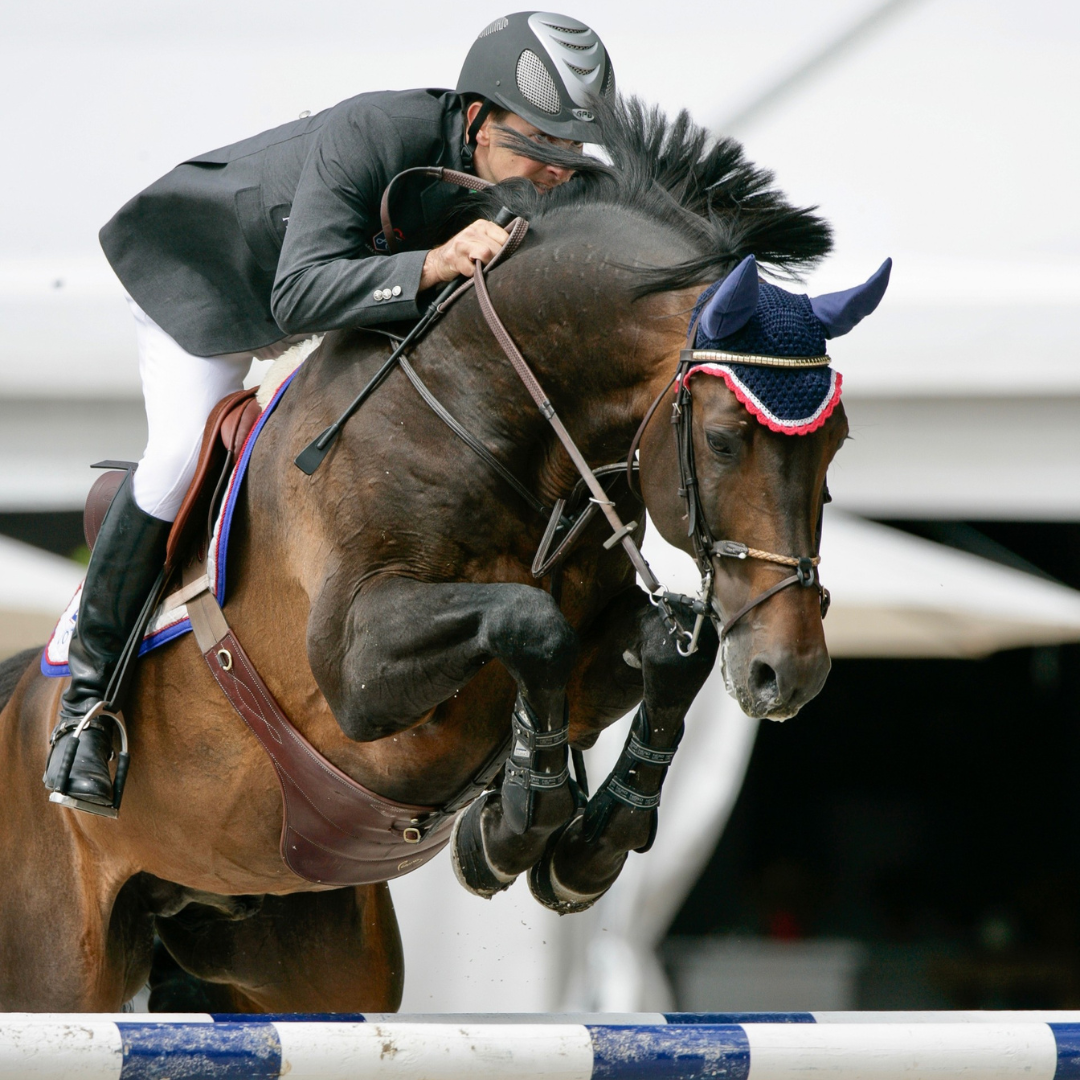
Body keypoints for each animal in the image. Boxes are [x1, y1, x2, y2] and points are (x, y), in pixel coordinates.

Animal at [0, 98, 843, 1012]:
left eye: (836, 446)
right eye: (724, 442)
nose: (789, 673)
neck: (497, 420)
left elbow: (669, 647)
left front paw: (580, 845)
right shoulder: (355, 670)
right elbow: (530, 621)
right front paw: (516, 825)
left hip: (305, 952)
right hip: (60, 972)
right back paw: (83, 746)